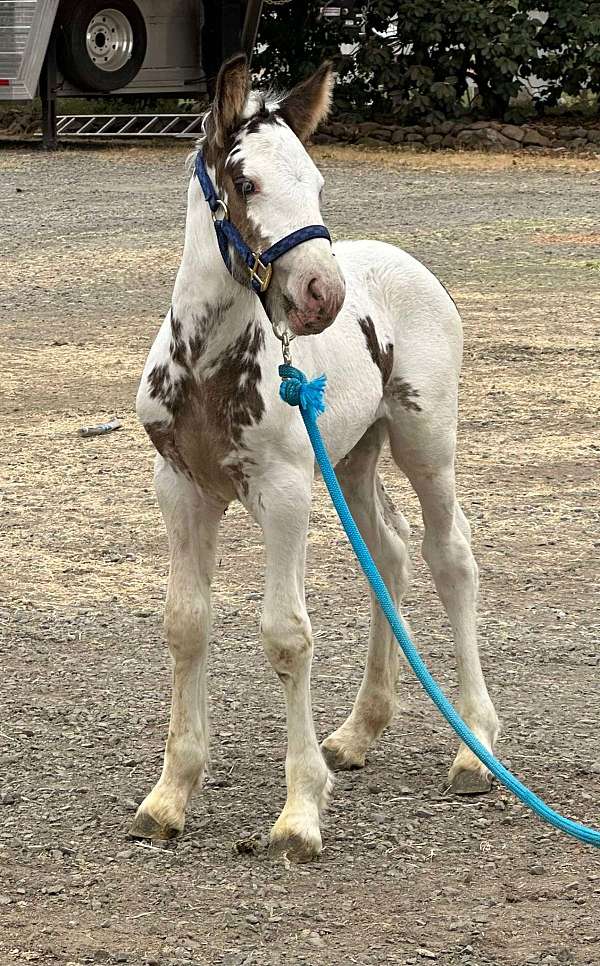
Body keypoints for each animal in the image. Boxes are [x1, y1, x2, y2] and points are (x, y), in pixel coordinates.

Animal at [132, 56, 502, 864]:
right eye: (244, 182)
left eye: (317, 181)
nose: (320, 294)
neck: (210, 368)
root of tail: (406, 263)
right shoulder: (180, 489)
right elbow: (186, 624)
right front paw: (170, 796)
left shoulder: (285, 492)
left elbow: (286, 635)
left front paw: (300, 811)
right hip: (355, 458)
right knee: (387, 553)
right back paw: (359, 731)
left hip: (425, 444)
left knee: (450, 558)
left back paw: (474, 747)